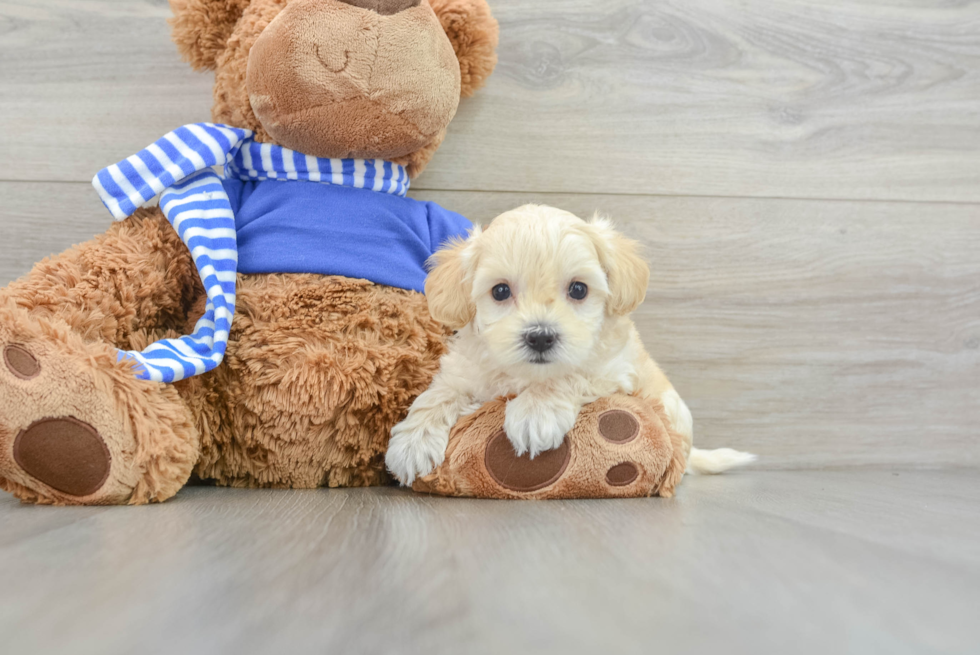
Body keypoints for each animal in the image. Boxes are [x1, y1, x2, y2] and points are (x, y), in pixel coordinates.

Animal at [386, 205, 756, 486]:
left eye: (579, 289)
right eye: (500, 291)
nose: (540, 336)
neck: (525, 376)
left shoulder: (612, 369)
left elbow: (569, 374)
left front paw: (535, 412)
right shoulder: (465, 371)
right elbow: (438, 395)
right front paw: (412, 442)